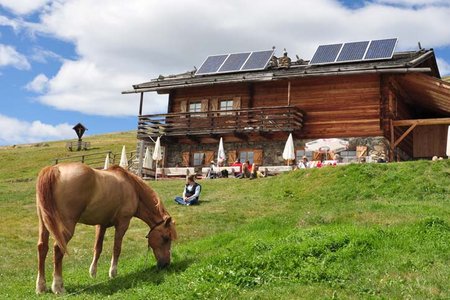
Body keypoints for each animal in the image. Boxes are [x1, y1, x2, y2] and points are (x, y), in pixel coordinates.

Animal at [34, 163, 176, 294]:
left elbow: (98, 248)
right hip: (66, 226)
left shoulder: (101, 225)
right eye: (166, 238)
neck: (132, 188)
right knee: (58, 249)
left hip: (44, 223)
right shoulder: (123, 224)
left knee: (42, 247)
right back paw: (58, 287)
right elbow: (117, 249)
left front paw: (93, 273)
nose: (166, 264)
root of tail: (54, 169)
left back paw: (41, 287)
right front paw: (113, 273)